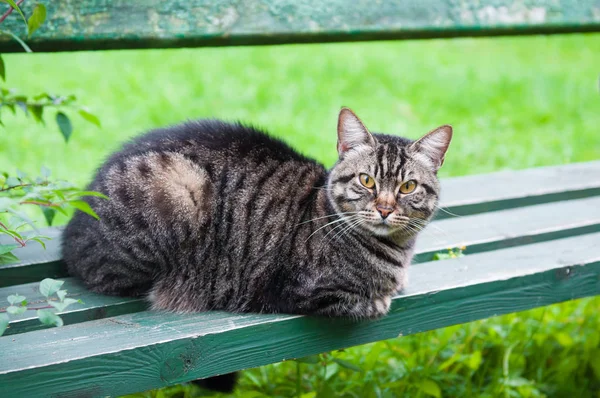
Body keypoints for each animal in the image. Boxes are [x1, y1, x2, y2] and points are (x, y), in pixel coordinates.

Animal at [63, 108, 452, 392]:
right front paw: (381, 297)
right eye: (366, 180)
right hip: (177, 187)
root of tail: (71, 228)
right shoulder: (298, 289)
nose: (385, 208)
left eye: (408, 187)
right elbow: (367, 302)